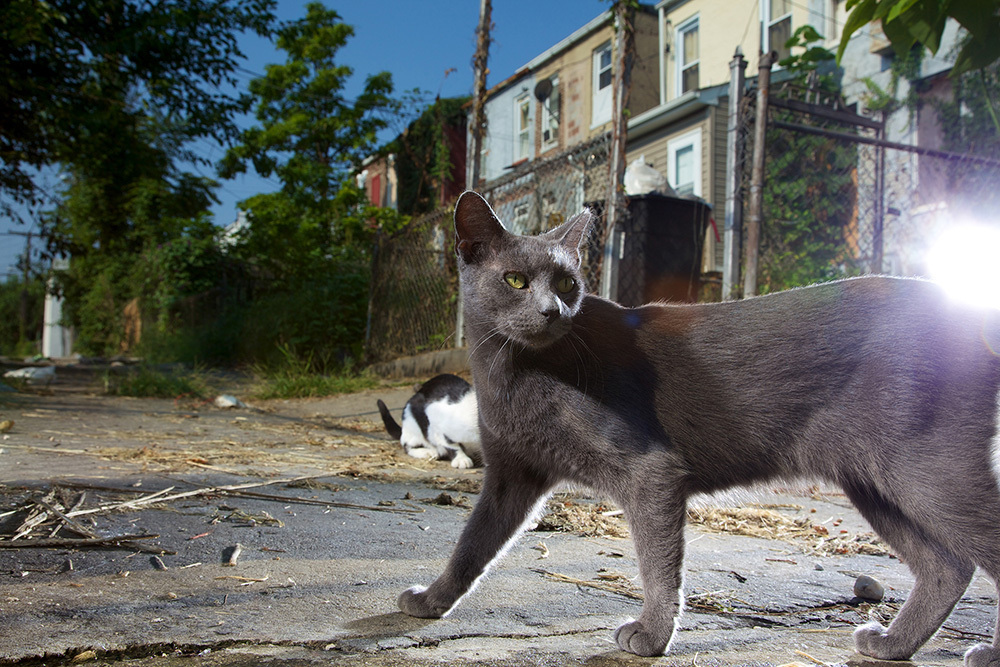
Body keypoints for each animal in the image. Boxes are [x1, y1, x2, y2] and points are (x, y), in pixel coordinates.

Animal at [396, 190, 1000, 664]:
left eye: (568, 282)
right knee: (947, 567)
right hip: (874, 482)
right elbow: (472, 546)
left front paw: (652, 635)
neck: (515, 372)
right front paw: (431, 601)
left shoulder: (651, 471)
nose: (554, 311)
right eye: (516, 280)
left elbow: (659, 565)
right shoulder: (511, 476)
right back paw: (893, 643)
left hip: (927, 469)